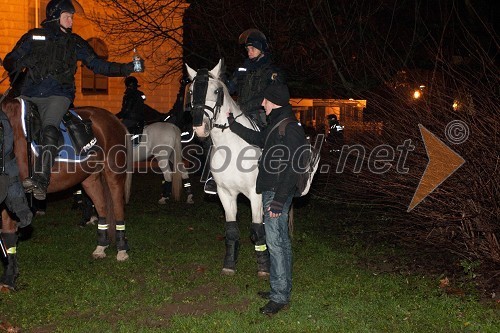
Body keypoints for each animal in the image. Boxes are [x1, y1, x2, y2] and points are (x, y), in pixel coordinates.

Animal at [0, 95, 132, 288]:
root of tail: (114, 119)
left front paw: (9, 278)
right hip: (89, 178)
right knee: (101, 207)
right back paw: (101, 246)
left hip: (113, 174)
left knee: (118, 207)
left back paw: (121, 250)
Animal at [186, 59, 270, 274]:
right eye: (191, 91)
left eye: (216, 91)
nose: (200, 128)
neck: (232, 148)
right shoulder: (225, 194)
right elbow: (231, 230)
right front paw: (230, 263)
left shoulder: (255, 194)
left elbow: (257, 229)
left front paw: (264, 265)